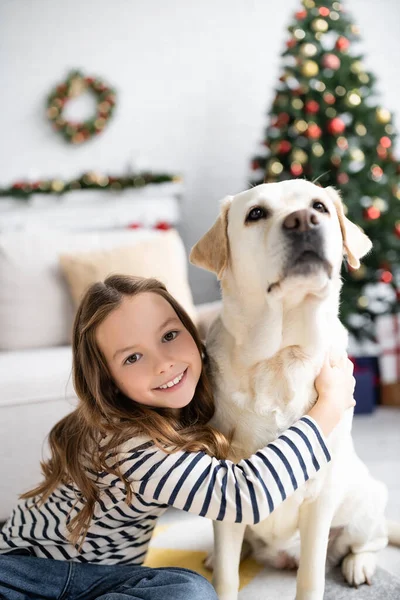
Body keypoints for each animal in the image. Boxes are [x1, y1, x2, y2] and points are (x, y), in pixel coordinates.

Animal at [189, 179, 398, 600]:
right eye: (255, 213)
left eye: (319, 206)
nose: (303, 220)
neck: (281, 355)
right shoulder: (227, 496)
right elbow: (227, 577)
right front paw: (223, 571)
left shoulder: (320, 499)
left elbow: (311, 576)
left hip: (364, 505)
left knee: (370, 541)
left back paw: (359, 564)